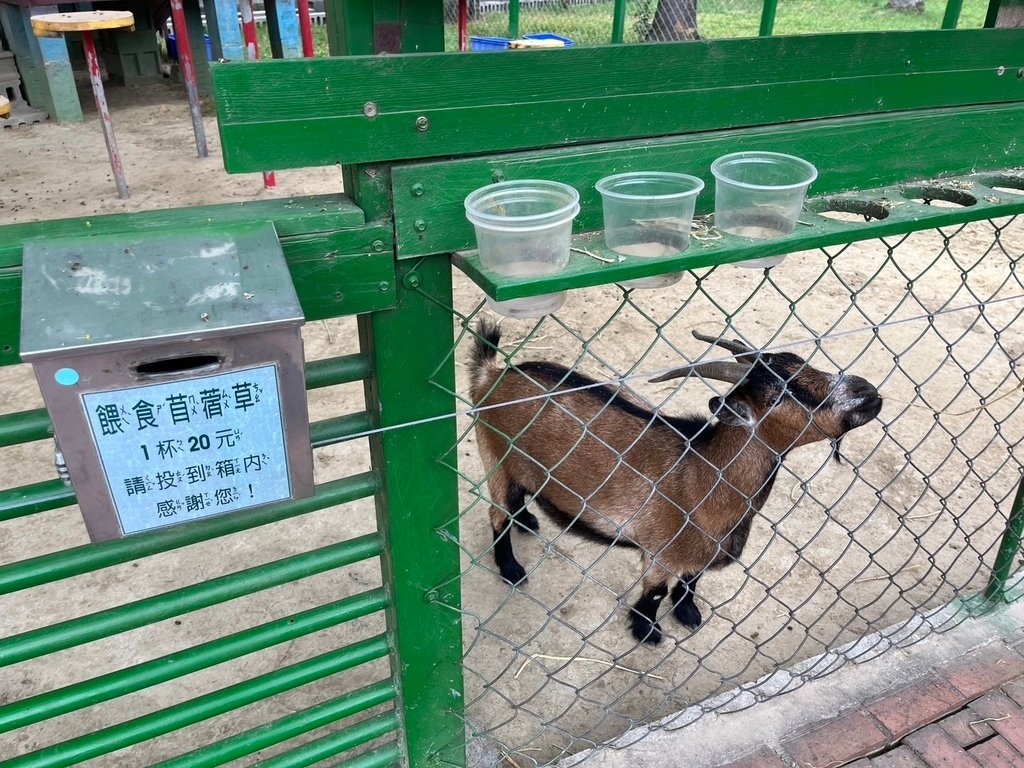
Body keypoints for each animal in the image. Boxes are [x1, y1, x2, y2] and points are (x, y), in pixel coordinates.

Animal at [468, 321, 880, 647]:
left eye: (804, 362)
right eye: (779, 395)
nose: (868, 392)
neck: (704, 475)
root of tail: (491, 376)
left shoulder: (698, 551)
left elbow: (690, 581)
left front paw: (688, 614)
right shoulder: (661, 551)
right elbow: (655, 593)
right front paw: (646, 632)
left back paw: (528, 521)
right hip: (494, 454)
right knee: (496, 512)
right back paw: (511, 569)